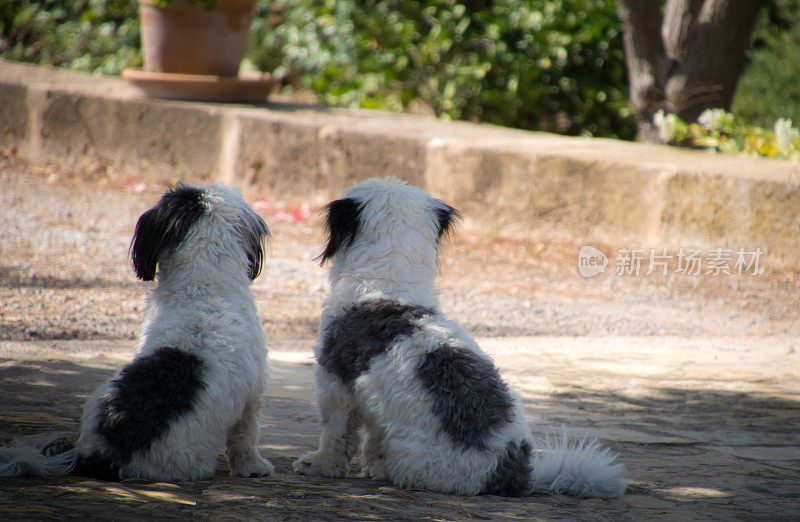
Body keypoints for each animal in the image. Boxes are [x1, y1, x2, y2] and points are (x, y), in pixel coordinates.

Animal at [0, 182, 276, 480]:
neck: (202, 287)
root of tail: (104, 452)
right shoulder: (253, 393)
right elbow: (245, 436)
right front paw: (253, 466)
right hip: (189, 460)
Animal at [290, 178, 628, 496]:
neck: (386, 284)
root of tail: (508, 470)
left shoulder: (335, 384)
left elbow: (336, 434)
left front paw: (320, 464)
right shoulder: (374, 401)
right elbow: (372, 432)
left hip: (414, 458)